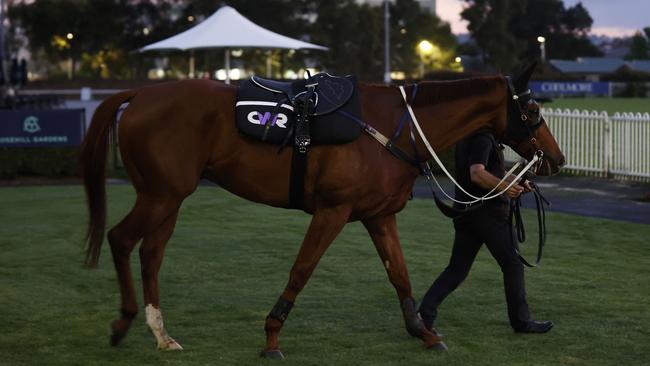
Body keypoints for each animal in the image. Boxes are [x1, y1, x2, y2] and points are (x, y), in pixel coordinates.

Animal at [79, 63, 560, 358]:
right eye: (533, 107)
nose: (556, 158)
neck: (392, 126)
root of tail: (140, 93)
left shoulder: (378, 215)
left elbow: (400, 275)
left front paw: (423, 331)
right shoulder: (332, 210)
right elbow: (302, 269)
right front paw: (272, 336)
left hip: (170, 196)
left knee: (151, 252)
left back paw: (161, 334)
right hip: (161, 194)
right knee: (122, 239)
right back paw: (123, 323)